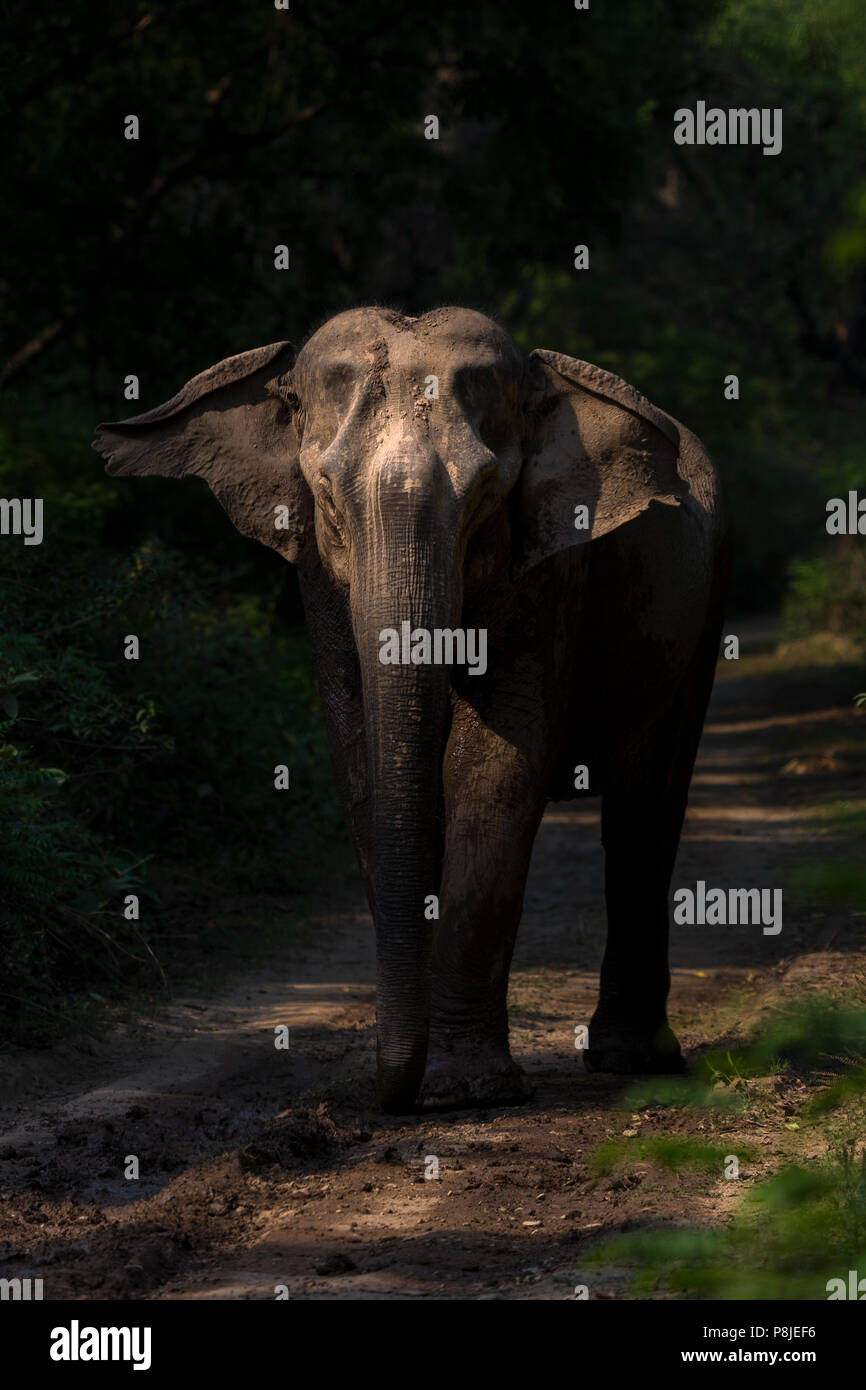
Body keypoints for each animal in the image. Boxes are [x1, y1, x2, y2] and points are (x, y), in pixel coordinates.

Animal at [94, 307, 728, 1117]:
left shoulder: (552, 568)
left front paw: (467, 1089)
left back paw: (631, 1059)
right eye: (328, 496)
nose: (382, 1092)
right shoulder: (320, 580)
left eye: (487, 492)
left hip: (705, 607)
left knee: (647, 800)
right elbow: (361, 763)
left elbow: (494, 773)